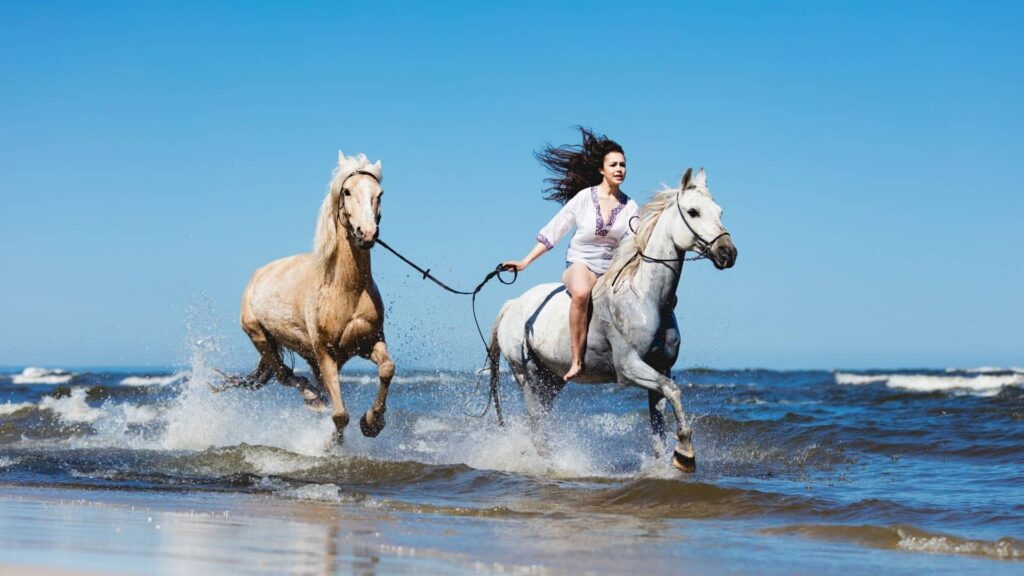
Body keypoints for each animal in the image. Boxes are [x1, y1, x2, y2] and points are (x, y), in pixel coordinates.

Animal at [222, 150, 393, 436]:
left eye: (379, 193)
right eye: (347, 191)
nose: (366, 234)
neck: (345, 290)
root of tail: (257, 276)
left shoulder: (369, 341)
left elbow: (387, 369)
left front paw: (372, 422)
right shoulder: (325, 353)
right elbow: (340, 416)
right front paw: (335, 440)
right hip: (261, 338)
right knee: (284, 375)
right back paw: (313, 398)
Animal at [487, 166, 737, 471]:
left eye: (720, 211)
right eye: (693, 212)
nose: (728, 252)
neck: (646, 297)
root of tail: (512, 305)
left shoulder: (661, 369)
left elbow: (659, 422)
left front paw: (669, 461)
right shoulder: (628, 369)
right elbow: (674, 391)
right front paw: (686, 454)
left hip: (552, 379)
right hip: (528, 376)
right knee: (536, 423)